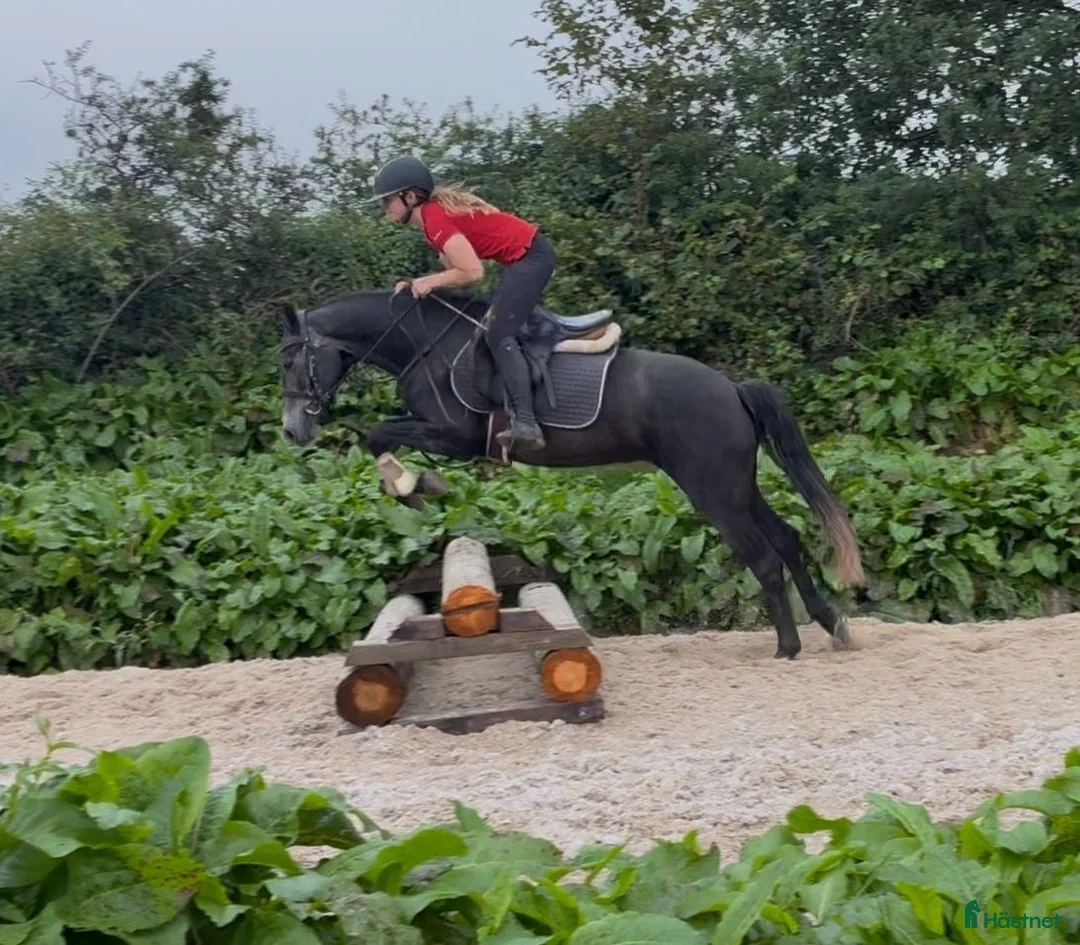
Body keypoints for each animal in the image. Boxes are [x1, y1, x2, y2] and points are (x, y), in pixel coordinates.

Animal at [278, 286, 865, 659]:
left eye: (289, 362)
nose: (292, 430)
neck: (426, 345)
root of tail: (733, 388)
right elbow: (379, 434)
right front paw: (416, 485)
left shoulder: (454, 436)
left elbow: (377, 434)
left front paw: (413, 486)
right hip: (736, 486)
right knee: (786, 540)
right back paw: (831, 624)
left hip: (712, 490)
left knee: (764, 557)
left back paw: (787, 648)